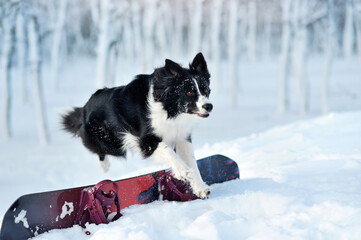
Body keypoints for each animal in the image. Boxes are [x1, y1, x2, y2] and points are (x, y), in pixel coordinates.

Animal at [62, 53, 212, 198]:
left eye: (205, 89)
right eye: (189, 92)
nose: (209, 106)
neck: (170, 109)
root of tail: (85, 107)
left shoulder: (181, 136)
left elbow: (192, 161)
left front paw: (200, 188)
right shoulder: (146, 142)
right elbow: (167, 150)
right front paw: (182, 170)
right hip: (112, 143)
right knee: (99, 150)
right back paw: (104, 166)